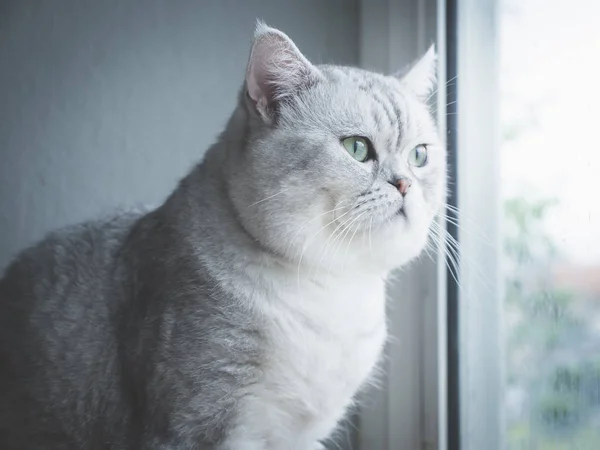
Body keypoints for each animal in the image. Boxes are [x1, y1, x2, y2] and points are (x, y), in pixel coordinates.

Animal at [0, 21, 442, 450]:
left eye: (419, 156)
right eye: (356, 148)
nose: (405, 184)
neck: (332, 293)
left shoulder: (303, 437)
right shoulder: (205, 424)